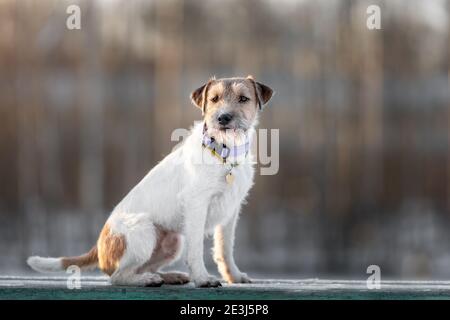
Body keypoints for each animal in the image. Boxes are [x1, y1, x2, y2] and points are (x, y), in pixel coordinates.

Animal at [29, 75, 274, 288]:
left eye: (243, 98)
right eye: (214, 99)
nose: (223, 118)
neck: (224, 151)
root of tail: (98, 247)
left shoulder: (231, 211)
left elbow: (225, 249)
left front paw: (234, 276)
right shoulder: (196, 205)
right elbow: (196, 248)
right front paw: (202, 278)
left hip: (173, 243)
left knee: (140, 268)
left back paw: (168, 276)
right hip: (143, 231)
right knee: (118, 276)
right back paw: (146, 280)